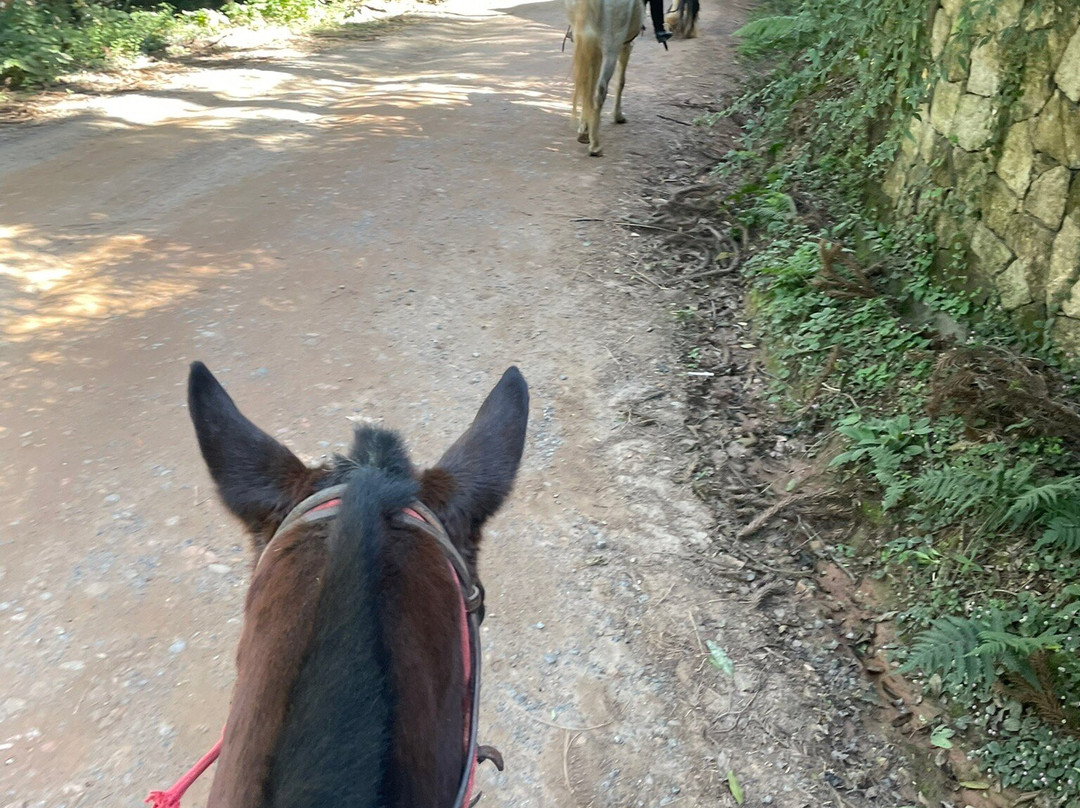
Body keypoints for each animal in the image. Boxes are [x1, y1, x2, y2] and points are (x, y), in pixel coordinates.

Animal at [565, 0, 642, 156]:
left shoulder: (595, 49)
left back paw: (586, 134)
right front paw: (618, 116)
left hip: (584, 41)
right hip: (611, 47)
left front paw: (585, 127)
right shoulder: (626, 45)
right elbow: (621, 82)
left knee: (585, 86)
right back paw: (595, 146)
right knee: (600, 91)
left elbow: (589, 85)